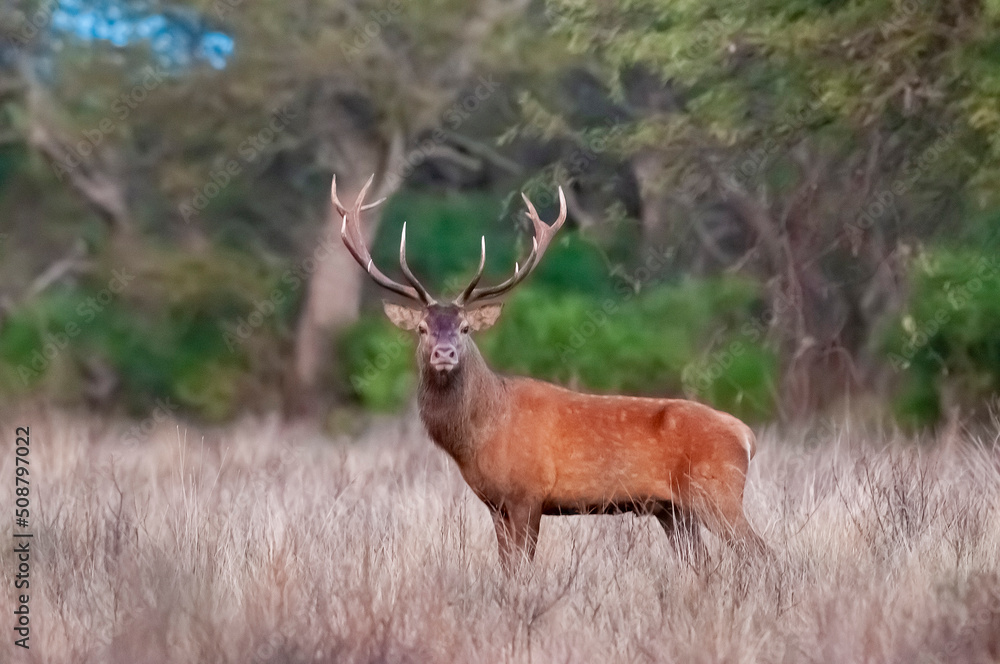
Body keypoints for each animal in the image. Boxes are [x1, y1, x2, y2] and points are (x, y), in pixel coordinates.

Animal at [334, 174, 766, 572]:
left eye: (466, 328)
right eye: (423, 328)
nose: (444, 353)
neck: (482, 432)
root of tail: (746, 435)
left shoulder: (529, 493)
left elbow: (523, 570)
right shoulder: (496, 504)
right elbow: (507, 569)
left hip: (718, 492)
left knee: (762, 554)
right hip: (672, 509)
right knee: (703, 565)